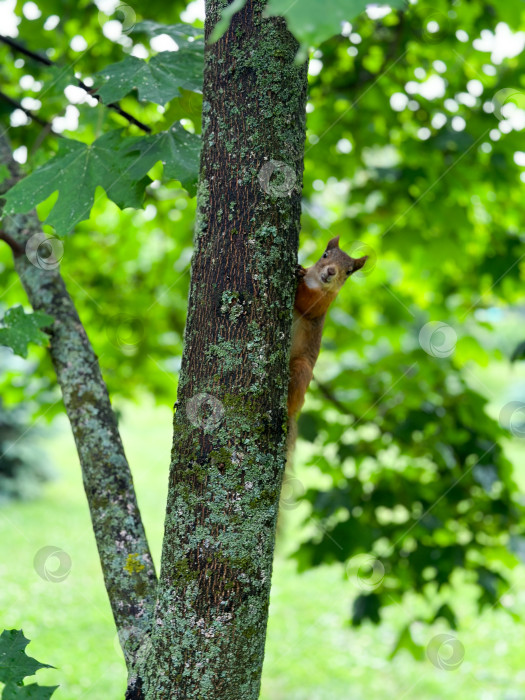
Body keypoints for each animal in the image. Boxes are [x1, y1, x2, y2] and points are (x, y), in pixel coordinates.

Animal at [284, 238, 366, 452]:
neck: (315, 282)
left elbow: (306, 302)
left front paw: (299, 274)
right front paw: (301, 269)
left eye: (348, 271)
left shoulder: (323, 303)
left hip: (302, 368)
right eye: (325, 255)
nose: (331, 271)